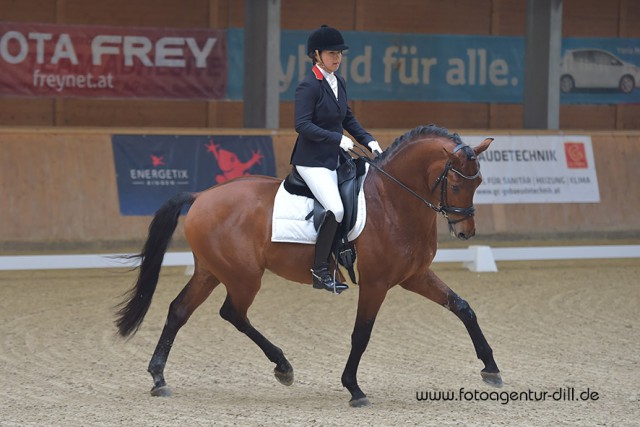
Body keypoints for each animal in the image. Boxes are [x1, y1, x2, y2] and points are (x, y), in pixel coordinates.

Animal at [117, 123, 502, 408]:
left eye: (481, 182)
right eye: (456, 183)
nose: (466, 232)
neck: (393, 201)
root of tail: (201, 196)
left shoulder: (415, 276)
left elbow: (463, 308)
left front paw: (491, 368)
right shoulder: (376, 284)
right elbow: (361, 334)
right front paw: (354, 388)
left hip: (211, 271)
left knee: (179, 310)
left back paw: (159, 377)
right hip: (243, 276)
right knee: (232, 313)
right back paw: (282, 367)